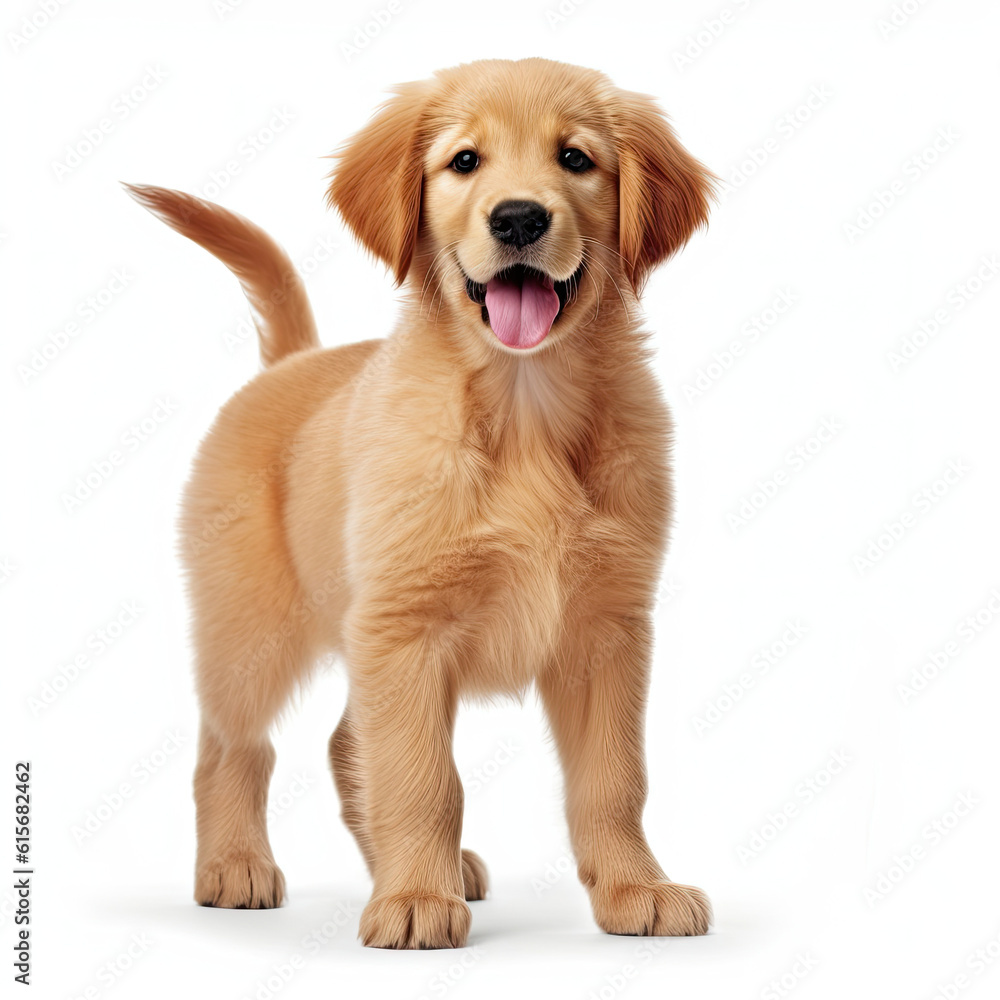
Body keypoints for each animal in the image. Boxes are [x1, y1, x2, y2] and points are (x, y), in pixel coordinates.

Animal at [125, 58, 716, 948]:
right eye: (464, 162)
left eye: (575, 159)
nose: (518, 218)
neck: (524, 410)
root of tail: (290, 363)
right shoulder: (406, 628)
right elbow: (421, 777)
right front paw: (412, 899)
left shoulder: (607, 629)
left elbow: (614, 781)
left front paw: (633, 888)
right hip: (251, 627)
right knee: (232, 748)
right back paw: (235, 865)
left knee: (343, 744)